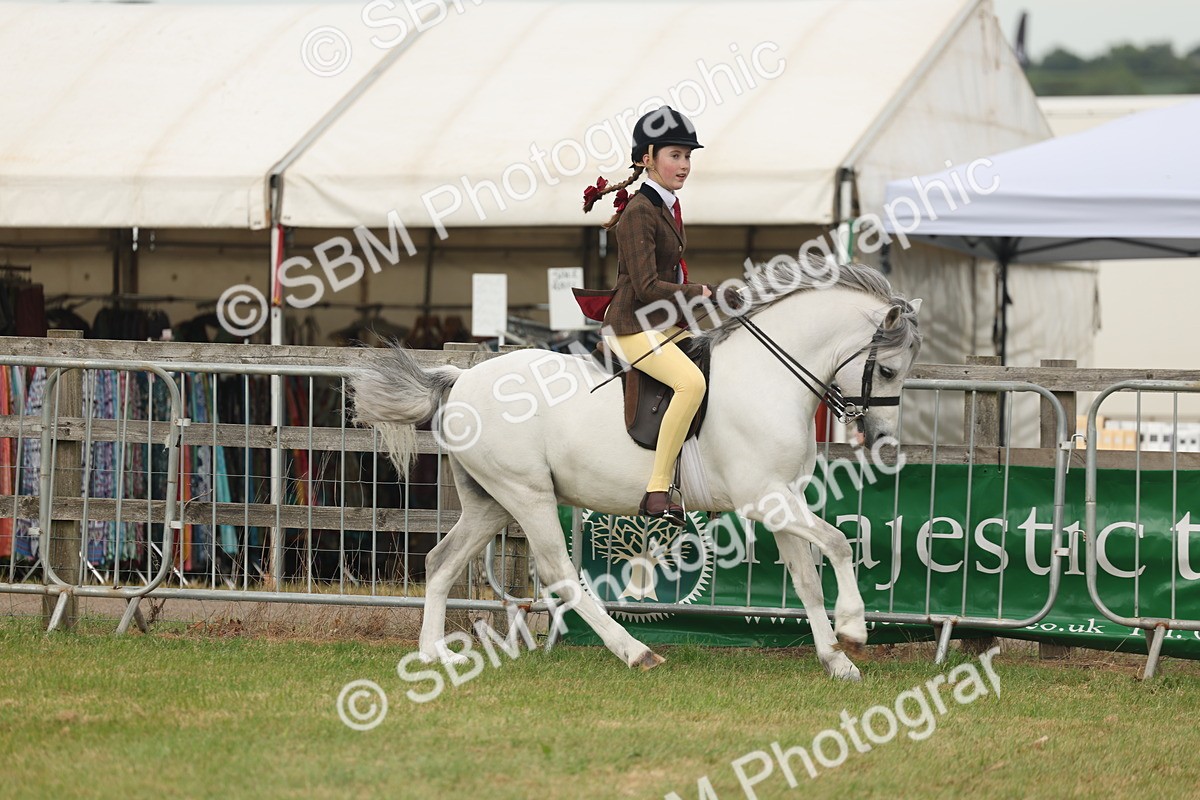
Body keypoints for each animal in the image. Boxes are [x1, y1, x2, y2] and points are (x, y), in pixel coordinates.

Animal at [350, 259, 921, 680]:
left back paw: (434, 654)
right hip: (527, 494)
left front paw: (835, 660)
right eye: (889, 369)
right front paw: (854, 631)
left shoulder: (783, 500)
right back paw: (635, 651)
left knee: (440, 562)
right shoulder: (764, 498)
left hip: (491, 502)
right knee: (560, 573)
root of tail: (461, 379)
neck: (769, 377)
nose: (886, 444)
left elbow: (806, 577)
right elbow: (840, 544)